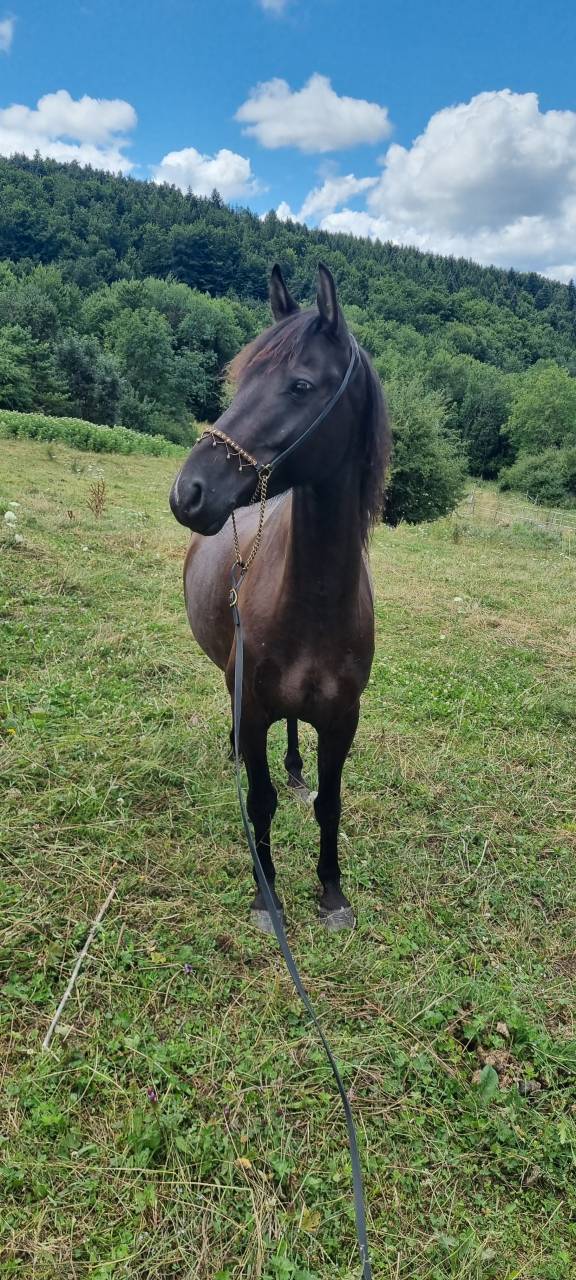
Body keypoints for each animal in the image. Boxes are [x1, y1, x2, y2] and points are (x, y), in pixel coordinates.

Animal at [169, 264, 391, 933]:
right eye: (241, 378)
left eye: (300, 385)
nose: (189, 492)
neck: (315, 600)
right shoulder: (253, 705)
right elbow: (261, 802)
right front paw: (265, 896)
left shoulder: (343, 717)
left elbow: (330, 802)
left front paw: (332, 893)